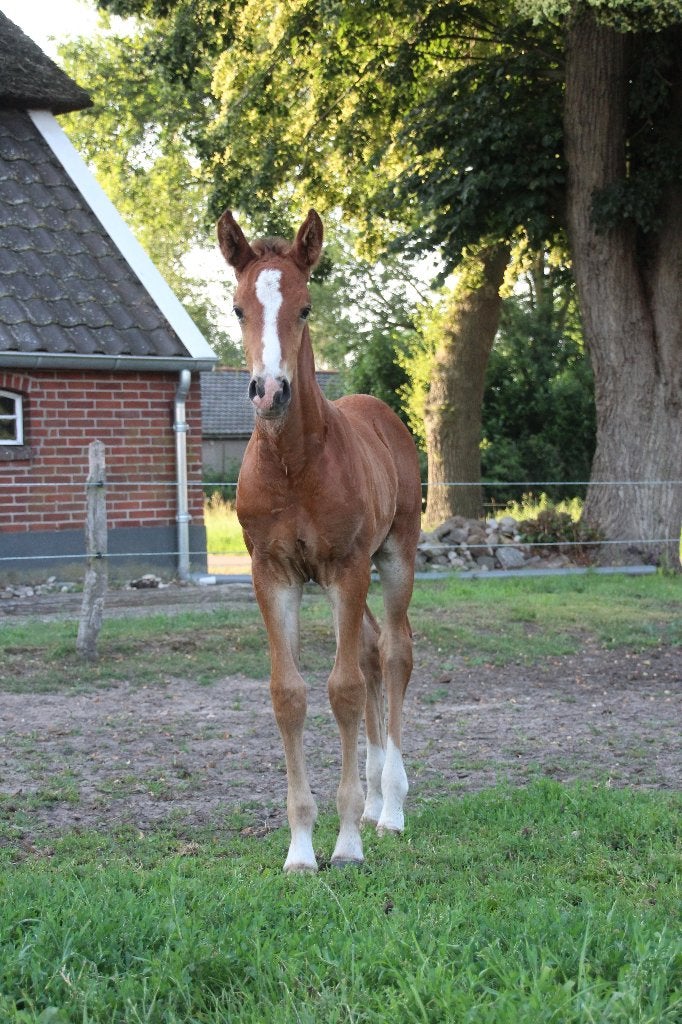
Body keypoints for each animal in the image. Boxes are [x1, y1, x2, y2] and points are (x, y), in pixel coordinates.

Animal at [217, 208, 422, 873]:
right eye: (237, 308)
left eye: (305, 307)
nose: (269, 391)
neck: (294, 464)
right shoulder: (272, 574)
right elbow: (290, 694)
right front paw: (302, 850)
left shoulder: (346, 567)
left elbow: (344, 689)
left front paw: (349, 841)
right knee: (372, 647)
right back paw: (379, 790)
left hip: (393, 556)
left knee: (395, 651)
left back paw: (391, 808)